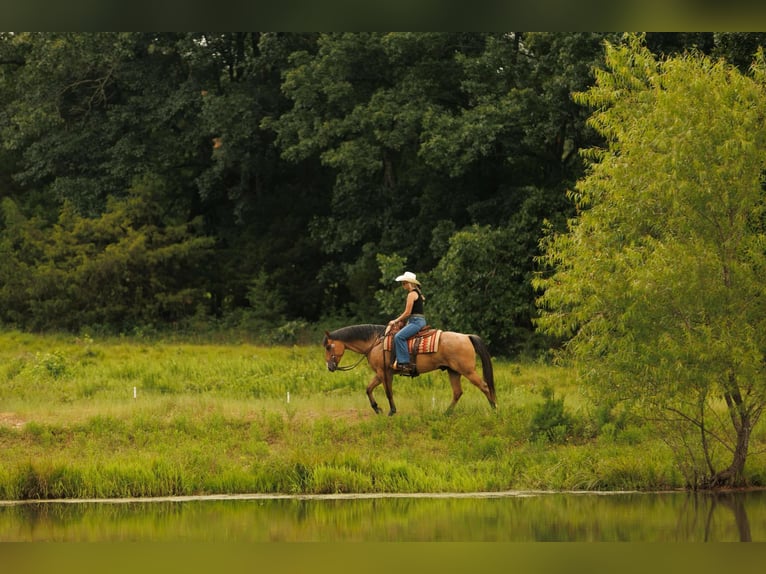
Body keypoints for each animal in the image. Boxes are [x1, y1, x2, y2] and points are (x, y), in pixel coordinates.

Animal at [322, 324, 496, 416]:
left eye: (329, 346)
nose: (330, 367)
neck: (375, 342)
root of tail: (466, 337)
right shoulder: (380, 373)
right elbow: (368, 388)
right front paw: (377, 408)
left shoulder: (384, 373)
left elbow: (388, 392)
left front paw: (392, 411)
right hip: (453, 371)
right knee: (457, 392)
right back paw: (446, 412)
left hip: (467, 371)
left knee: (484, 386)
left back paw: (494, 409)